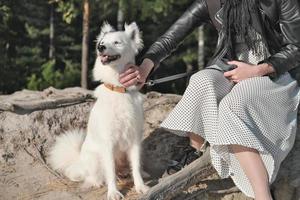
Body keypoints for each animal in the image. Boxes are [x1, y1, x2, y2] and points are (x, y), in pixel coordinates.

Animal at [48, 21, 149, 200]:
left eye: (117, 42)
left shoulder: (135, 139)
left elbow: (136, 166)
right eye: (102, 42)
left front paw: (140, 187)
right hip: (94, 158)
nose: (100, 47)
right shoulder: (107, 143)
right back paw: (96, 182)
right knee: (93, 176)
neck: (119, 89)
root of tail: (79, 161)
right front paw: (113, 192)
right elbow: (110, 171)